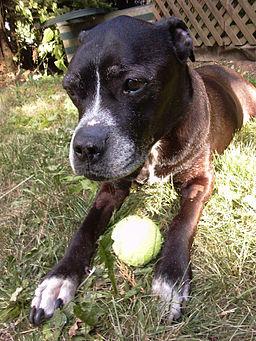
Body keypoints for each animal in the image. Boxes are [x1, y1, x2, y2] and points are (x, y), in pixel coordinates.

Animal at [29, 15, 255, 324]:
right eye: (71, 89)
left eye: (133, 84)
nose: (85, 147)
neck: (154, 146)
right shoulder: (110, 188)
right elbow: (85, 228)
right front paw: (58, 278)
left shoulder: (201, 181)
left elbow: (181, 222)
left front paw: (170, 279)